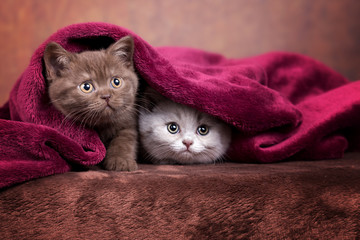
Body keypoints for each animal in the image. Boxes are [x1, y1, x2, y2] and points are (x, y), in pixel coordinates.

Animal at [44, 36, 139, 171]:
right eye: (86, 87)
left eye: (116, 82)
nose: (106, 96)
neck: (101, 124)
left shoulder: (128, 121)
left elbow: (124, 140)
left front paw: (121, 160)